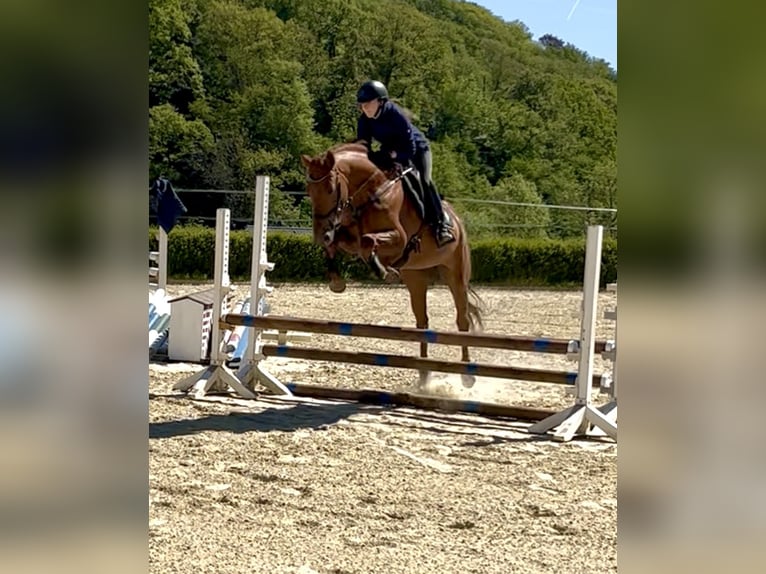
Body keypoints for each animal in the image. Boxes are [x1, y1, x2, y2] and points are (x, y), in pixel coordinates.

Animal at [300, 142, 484, 378]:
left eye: (331, 188)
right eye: (308, 190)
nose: (319, 234)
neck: (369, 193)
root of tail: (458, 221)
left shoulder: (399, 238)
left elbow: (368, 241)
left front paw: (385, 272)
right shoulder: (348, 237)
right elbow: (340, 244)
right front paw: (337, 281)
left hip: (456, 274)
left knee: (463, 319)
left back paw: (466, 373)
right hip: (416, 279)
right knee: (422, 321)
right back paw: (424, 372)